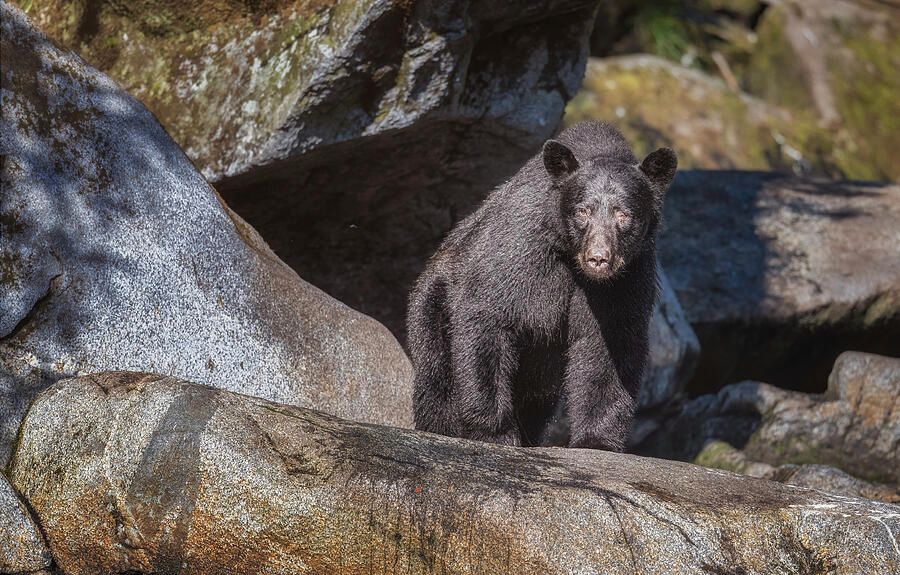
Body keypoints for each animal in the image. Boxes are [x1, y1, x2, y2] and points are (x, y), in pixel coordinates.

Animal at [407, 121, 677, 451]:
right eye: (583, 211)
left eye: (623, 214)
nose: (599, 258)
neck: (571, 259)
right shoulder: (521, 252)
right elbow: (487, 318)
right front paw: (494, 432)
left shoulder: (626, 282)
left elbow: (609, 347)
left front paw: (597, 440)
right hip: (434, 302)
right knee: (436, 375)